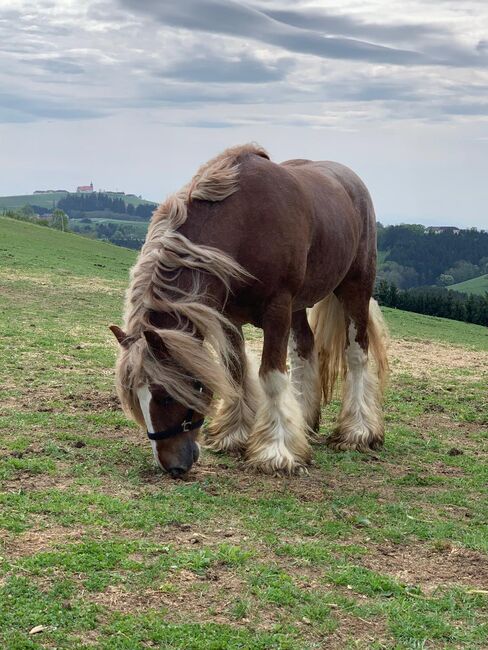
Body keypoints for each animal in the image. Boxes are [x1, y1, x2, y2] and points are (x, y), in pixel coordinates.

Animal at [110, 143, 388, 476]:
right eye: (136, 397)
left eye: (164, 397)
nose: (171, 465)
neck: (243, 226)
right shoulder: (228, 317)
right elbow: (236, 372)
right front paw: (235, 436)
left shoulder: (277, 309)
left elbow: (271, 375)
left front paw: (276, 452)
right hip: (300, 305)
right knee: (304, 350)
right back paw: (303, 424)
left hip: (355, 287)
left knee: (357, 352)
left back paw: (357, 432)